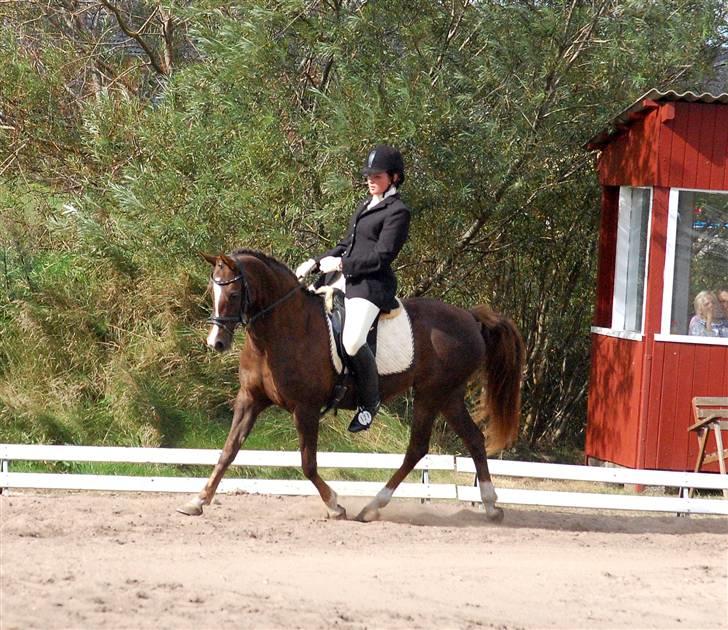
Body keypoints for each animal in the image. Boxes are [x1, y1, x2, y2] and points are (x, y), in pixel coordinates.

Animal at [178, 249, 524, 520]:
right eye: (212, 292)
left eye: (234, 295)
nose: (216, 342)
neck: (279, 331)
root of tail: (469, 317)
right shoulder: (250, 399)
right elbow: (228, 451)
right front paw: (197, 501)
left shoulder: (305, 408)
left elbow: (307, 463)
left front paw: (335, 506)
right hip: (448, 396)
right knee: (473, 439)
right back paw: (491, 507)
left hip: (431, 394)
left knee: (417, 449)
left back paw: (372, 506)